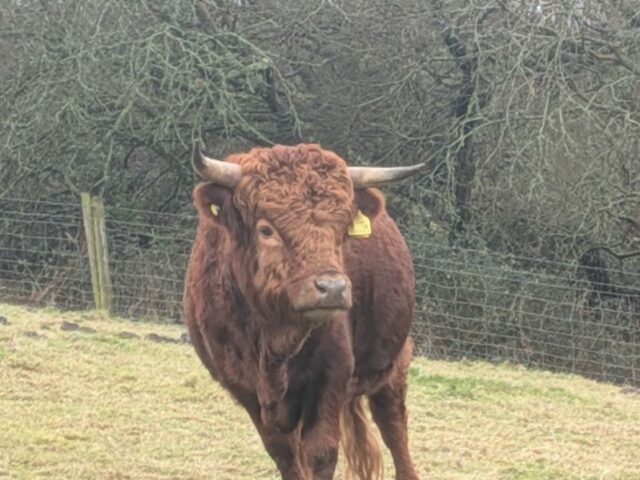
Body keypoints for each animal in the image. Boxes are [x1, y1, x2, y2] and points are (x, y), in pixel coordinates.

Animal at [183, 142, 424, 480]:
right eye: (266, 230)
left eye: (343, 230)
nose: (333, 287)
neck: (275, 343)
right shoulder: (245, 389)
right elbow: (285, 455)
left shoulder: (331, 376)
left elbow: (320, 453)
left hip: (392, 363)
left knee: (393, 426)